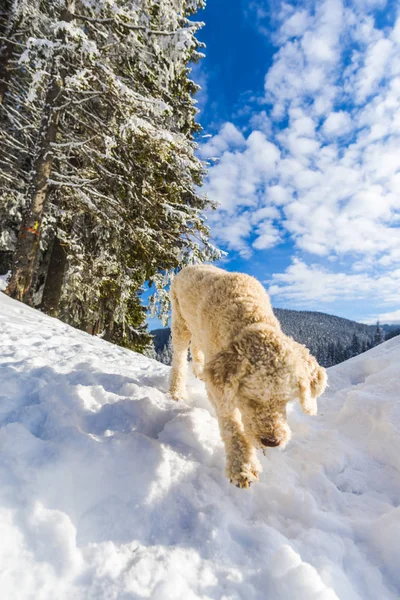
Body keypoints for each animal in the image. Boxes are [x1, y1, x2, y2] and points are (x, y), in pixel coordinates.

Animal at [169, 266, 328, 488]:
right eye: (250, 399)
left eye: (285, 401)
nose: (271, 441)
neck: (249, 315)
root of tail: (188, 266)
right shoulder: (220, 389)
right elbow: (231, 424)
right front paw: (242, 466)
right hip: (180, 321)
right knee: (179, 356)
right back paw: (176, 390)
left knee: (196, 349)